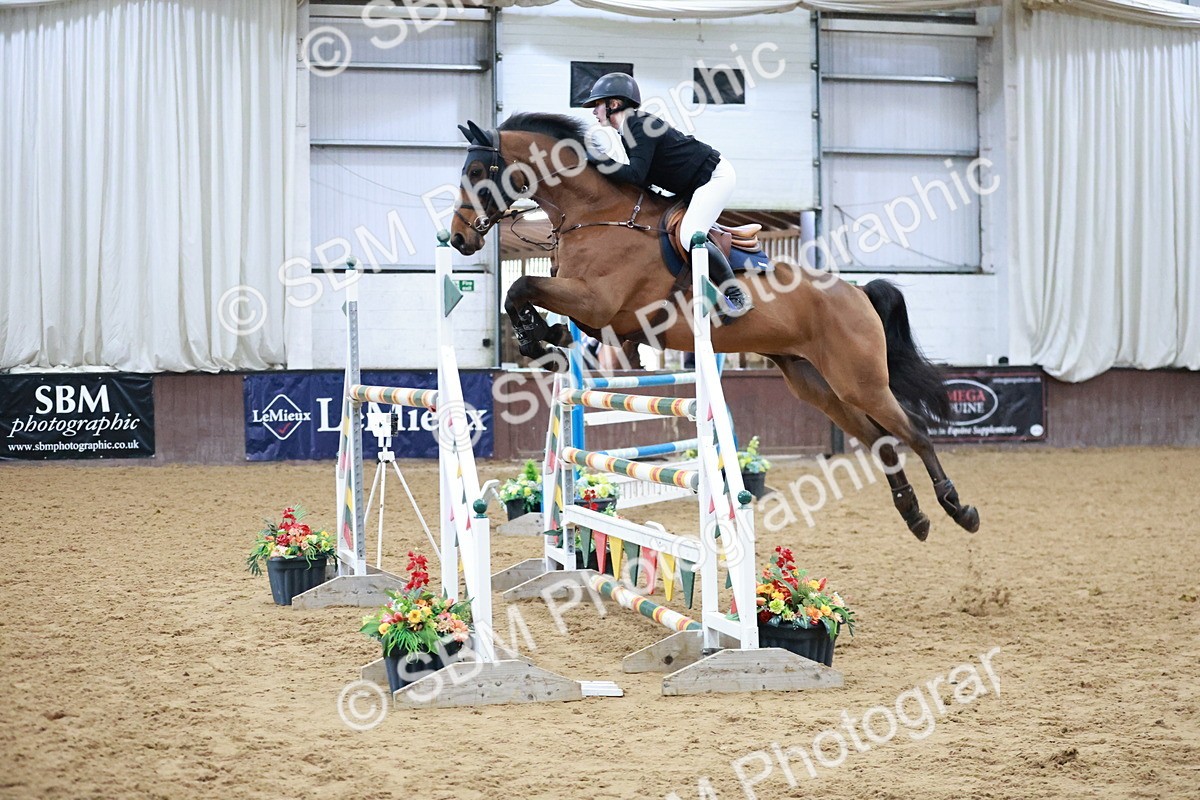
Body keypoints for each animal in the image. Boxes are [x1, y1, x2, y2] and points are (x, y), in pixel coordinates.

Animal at [449, 112, 979, 541]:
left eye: (475, 172)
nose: (456, 238)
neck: (598, 216)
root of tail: (856, 292)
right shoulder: (600, 317)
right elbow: (531, 302)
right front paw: (542, 340)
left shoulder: (598, 303)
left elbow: (521, 287)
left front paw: (535, 338)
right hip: (814, 383)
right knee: (881, 440)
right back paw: (914, 516)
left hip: (860, 381)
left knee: (914, 432)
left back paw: (958, 508)